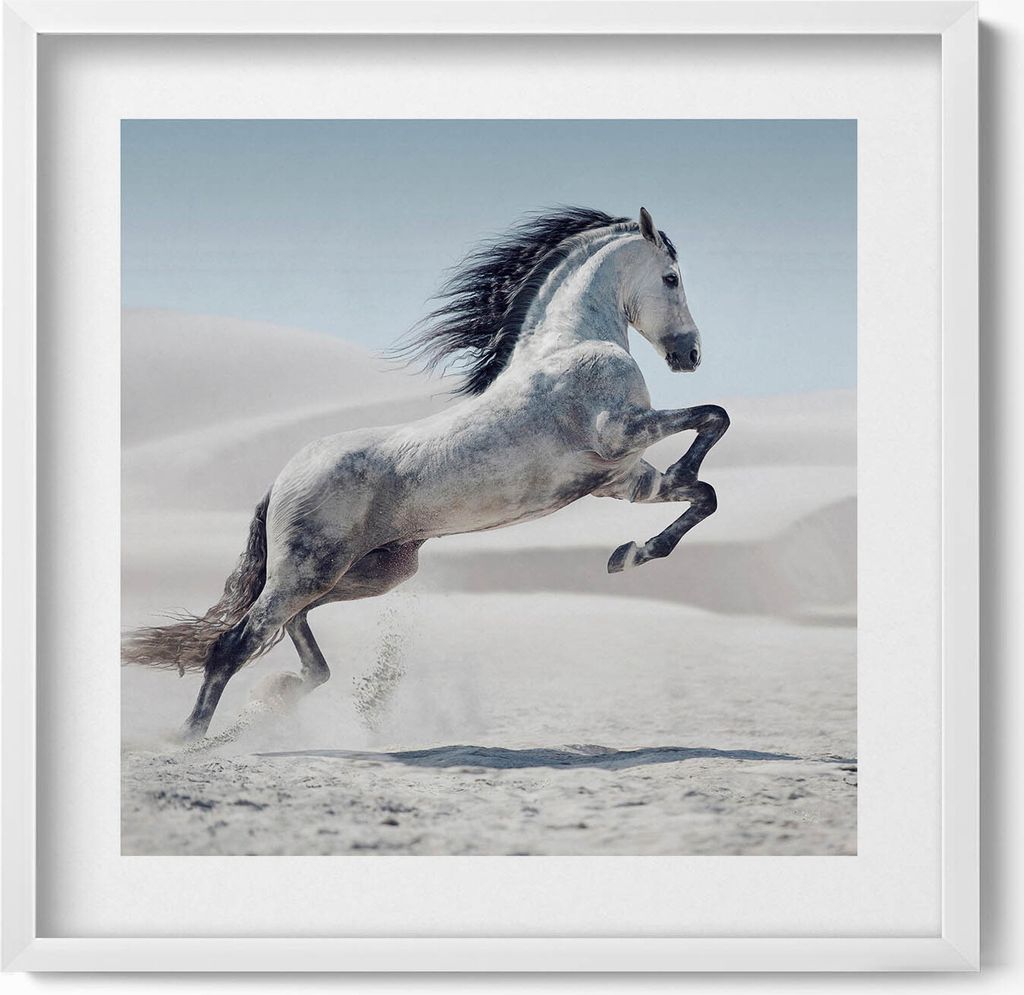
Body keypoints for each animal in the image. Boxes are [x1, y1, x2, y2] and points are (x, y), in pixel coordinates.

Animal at [123, 207, 730, 740]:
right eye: (672, 278)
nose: (691, 355)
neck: (572, 344)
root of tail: (280, 481)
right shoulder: (619, 433)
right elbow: (714, 417)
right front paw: (641, 536)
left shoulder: (623, 480)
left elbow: (704, 494)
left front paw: (629, 554)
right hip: (309, 570)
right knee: (235, 643)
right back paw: (191, 738)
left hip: (368, 573)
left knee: (291, 630)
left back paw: (280, 695)